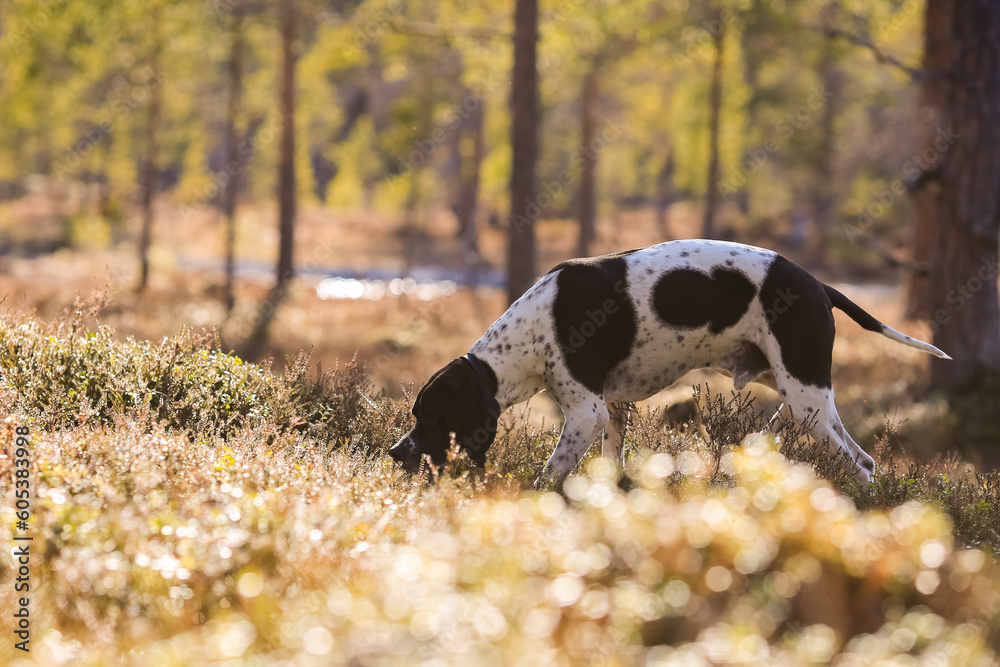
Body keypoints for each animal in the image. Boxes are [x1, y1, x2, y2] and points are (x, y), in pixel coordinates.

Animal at [386, 240, 948, 486]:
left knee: (860, 462)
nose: (394, 453)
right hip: (800, 398)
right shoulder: (611, 412)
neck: (536, 328)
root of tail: (820, 286)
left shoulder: (585, 413)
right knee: (864, 457)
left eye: (431, 416)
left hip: (805, 397)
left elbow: (549, 474)